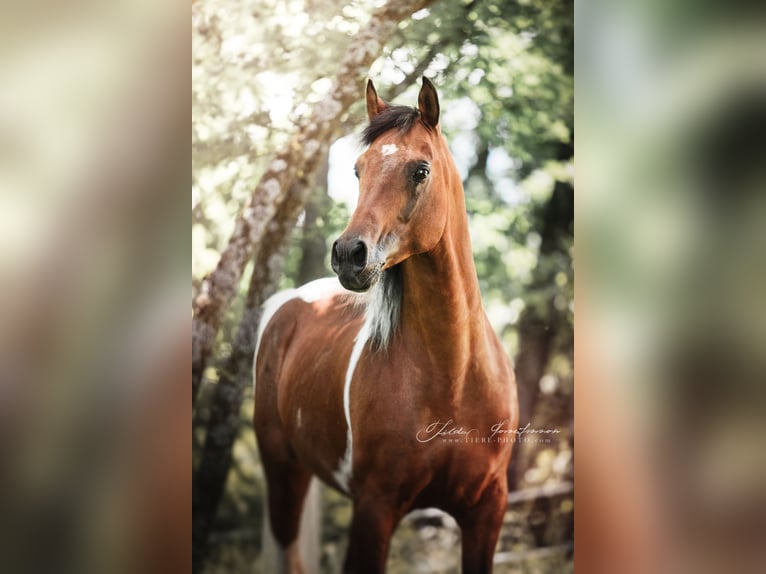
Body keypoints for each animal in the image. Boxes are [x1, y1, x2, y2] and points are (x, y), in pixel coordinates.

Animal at [254, 77, 518, 574]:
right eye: (358, 170)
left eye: (420, 170)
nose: (348, 254)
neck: (453, 377)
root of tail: (288, 303)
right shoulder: (375, 509)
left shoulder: (486, 510)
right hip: (282, 471)